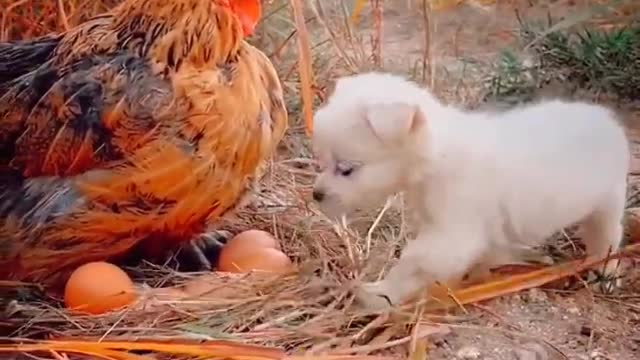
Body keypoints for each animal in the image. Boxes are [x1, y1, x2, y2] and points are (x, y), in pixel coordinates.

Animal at [310, 71, 632, 310]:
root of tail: (607, 120)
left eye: (346, 169)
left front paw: (379, 294)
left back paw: (606, 274)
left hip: (607, 202)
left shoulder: (453, 234)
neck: (438, 154)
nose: (316, 195)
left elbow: (413, 262)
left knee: (607, 237)